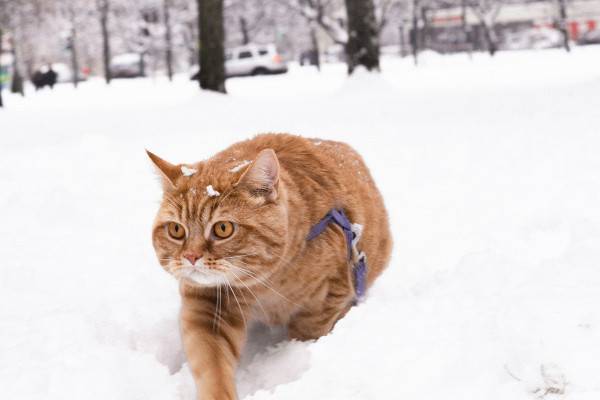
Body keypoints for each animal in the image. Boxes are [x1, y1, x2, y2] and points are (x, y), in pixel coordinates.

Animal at [148, 134, 392, 400]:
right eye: (176, 230)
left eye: (223, 228)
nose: (191, 256)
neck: (267, 284)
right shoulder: (206, 304)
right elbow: (211, 365)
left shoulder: (328, 298)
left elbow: (308, 332)